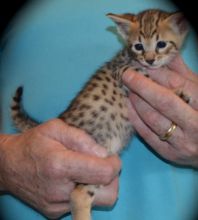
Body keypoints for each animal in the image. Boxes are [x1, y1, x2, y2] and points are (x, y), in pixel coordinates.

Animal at [11, 9, 189, 220]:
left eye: (161, 44)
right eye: (138, 46)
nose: (150, 59)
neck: (128, 56)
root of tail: (62, 119)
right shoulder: (125, 71)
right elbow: (151, 80)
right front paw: (177, 92)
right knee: (78, 194)